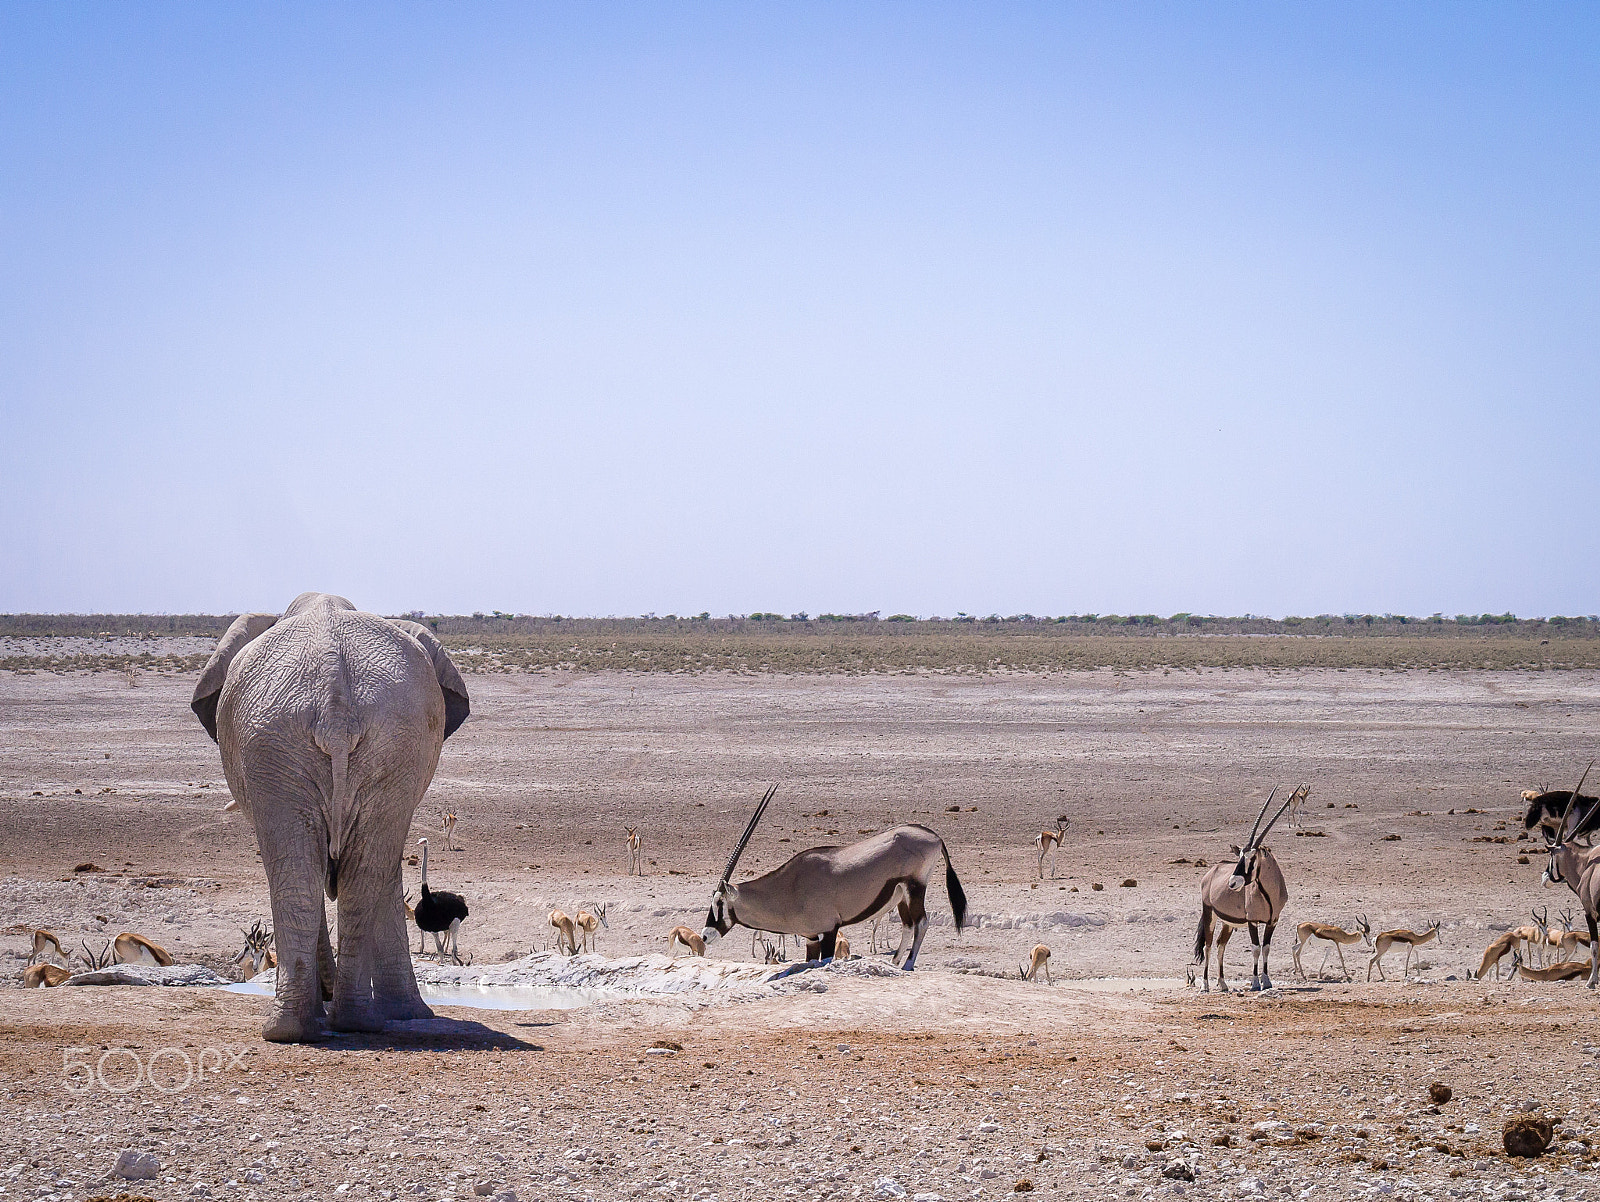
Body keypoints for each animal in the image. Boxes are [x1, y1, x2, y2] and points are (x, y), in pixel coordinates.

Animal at [191, 592, 470, 1042]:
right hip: (363, 742)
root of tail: (333, 695)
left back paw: (310, 1025)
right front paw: (404, 1014)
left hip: (285, 743)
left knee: (314, 871)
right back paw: (335, 1023)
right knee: (353, 871)